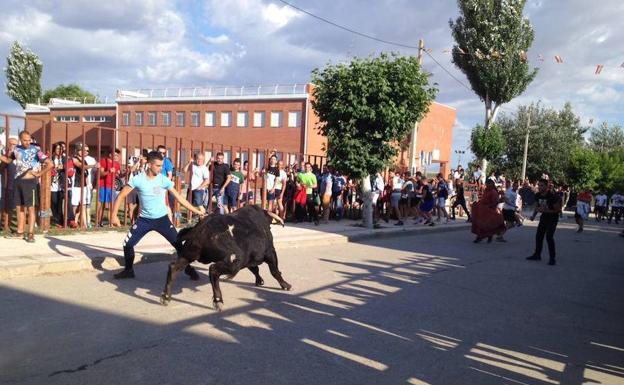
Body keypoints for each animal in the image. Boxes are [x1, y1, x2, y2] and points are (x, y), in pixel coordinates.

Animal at [158, 206, 290, 310]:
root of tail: (202, 228)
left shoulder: (250, 259)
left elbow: (255, 269)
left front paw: (259, 281)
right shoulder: (270, 252)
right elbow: (274, 271)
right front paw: (285, 285)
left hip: (188, 255)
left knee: (174, 267)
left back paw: (165, 297)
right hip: (234, 262)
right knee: (213, 270)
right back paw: (218, 300)